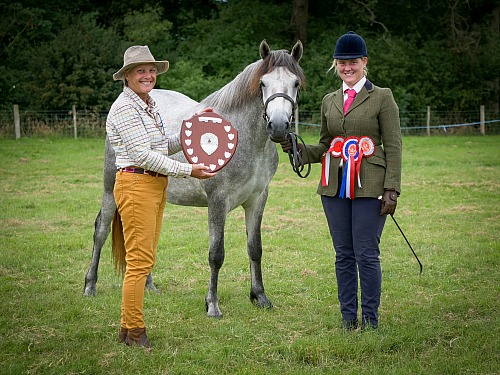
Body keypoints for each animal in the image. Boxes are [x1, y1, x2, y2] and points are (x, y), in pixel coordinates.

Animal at [84, 40, 304, 318]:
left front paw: (260, 297)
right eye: (263, 83)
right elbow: (216, 254)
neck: (246, 139)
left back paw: (148, 286)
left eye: (295, 83)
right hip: (109, 189)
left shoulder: (257, 199)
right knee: (100, 230)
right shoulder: (218, 201)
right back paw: (90, 285)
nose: (278, 126)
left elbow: (255, 248)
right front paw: (212, 305)